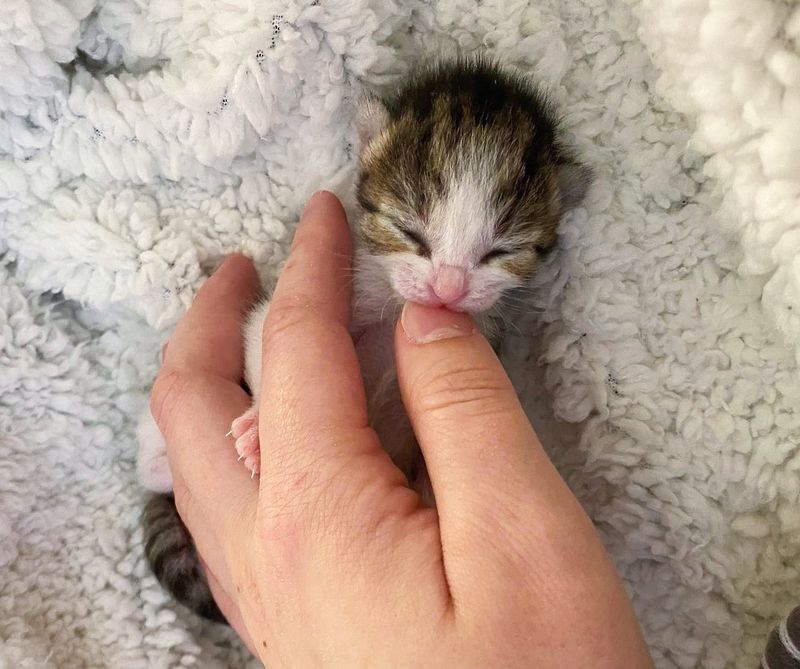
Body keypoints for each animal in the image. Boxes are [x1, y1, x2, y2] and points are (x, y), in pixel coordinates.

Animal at [138, 56, 592, 620]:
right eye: (408, 231)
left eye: (502, 251)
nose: (448, 289)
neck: (395, 304)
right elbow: (262, 328)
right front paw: (263, 427)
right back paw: (159, 461)